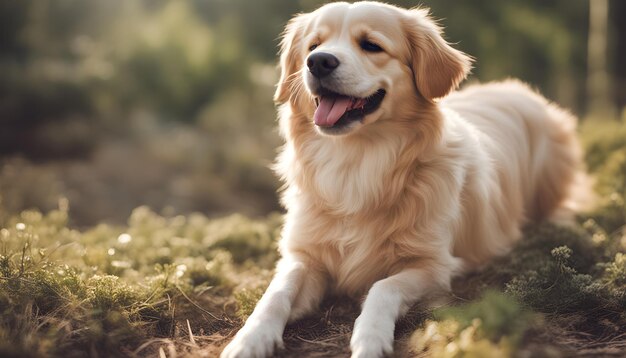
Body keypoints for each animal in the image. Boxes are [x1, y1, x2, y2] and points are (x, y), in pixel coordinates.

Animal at [219, 1, 584, 356]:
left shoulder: (435, 266)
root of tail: (517, 88)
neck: (356, 162)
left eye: (371, 45)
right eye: (314, 45)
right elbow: (276, 292)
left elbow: (383, 286)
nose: (318, 62)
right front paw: (250, 338)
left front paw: (369, 337)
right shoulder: (304, 255)